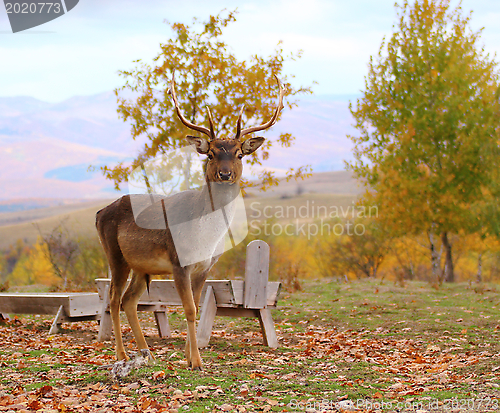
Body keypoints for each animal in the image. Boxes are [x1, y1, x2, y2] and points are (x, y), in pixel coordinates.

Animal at [96, 75, 286, 370]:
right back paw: (122, 355)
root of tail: (99, 213)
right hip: (115, 254)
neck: (204, 239)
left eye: (239, 154)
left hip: (142, 266)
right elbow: (188, 308)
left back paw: (147, 353)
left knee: (129, 300)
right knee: (114, 299)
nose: (225, 174)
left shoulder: (205, 267)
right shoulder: (178, 262)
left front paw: (188, 357)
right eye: (211, 154)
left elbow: (195, 307)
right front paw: (196, 361)